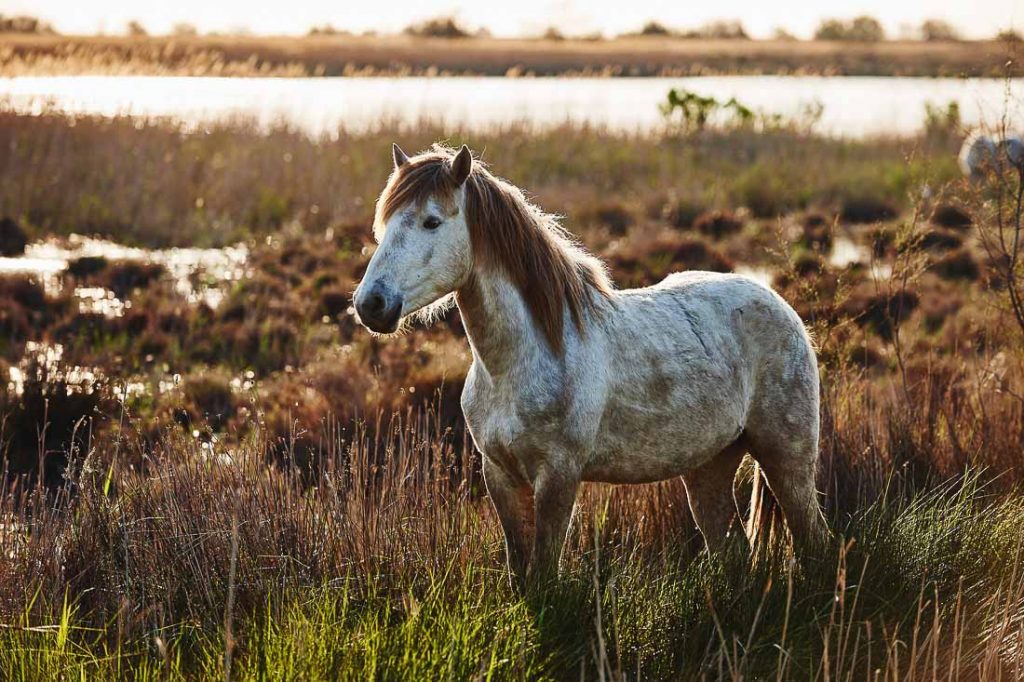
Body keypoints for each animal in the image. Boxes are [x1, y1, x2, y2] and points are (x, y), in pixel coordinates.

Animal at [356, 143, 827, 585]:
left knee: (814, 540)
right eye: (385, 224)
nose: (370, 304)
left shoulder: (558, 477)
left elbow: (544, 575)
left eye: (432, 221)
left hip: (787, 459)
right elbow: (519, 572)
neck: (521, 361)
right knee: (732, 550)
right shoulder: (500, 475)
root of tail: (782, 307)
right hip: (709, 468)